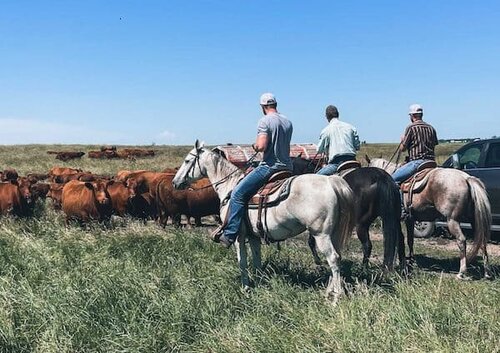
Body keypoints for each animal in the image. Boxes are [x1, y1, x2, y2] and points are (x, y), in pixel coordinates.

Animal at [173, 140, 356, 302]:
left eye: (187, 160)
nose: (175, 182)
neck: (230, 187)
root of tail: (332, 182)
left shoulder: (239, 236)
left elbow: (242, 262)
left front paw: (245, 289)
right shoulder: (254, 236)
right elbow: (257, 262)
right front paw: (260, 285)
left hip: (321, 235)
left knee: (333, 259)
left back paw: (335, 298)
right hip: (334, 233)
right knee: (337, 258)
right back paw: (329, 292)